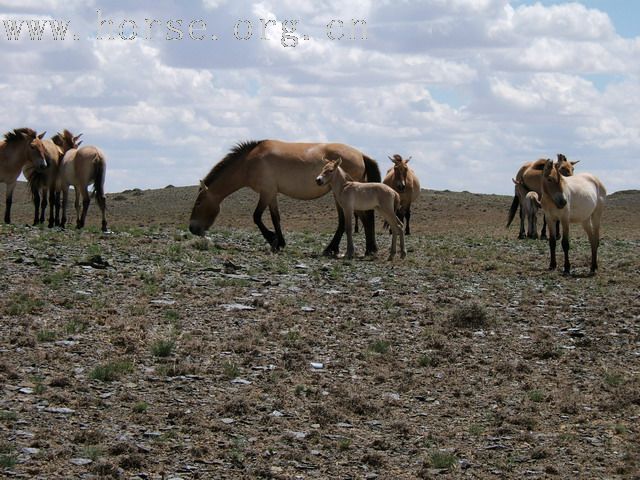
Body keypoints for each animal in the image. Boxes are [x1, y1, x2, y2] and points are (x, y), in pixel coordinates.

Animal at [189, 141, 380, 256]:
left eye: (198, 203)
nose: (192, 228)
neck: (250, 162)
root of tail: (361, 154)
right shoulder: (272, 193)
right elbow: (276, 218)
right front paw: (280, 242)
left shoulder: (266, 192)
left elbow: (256, 217)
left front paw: (272, 238)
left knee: (360, 218)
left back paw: (355, 249)